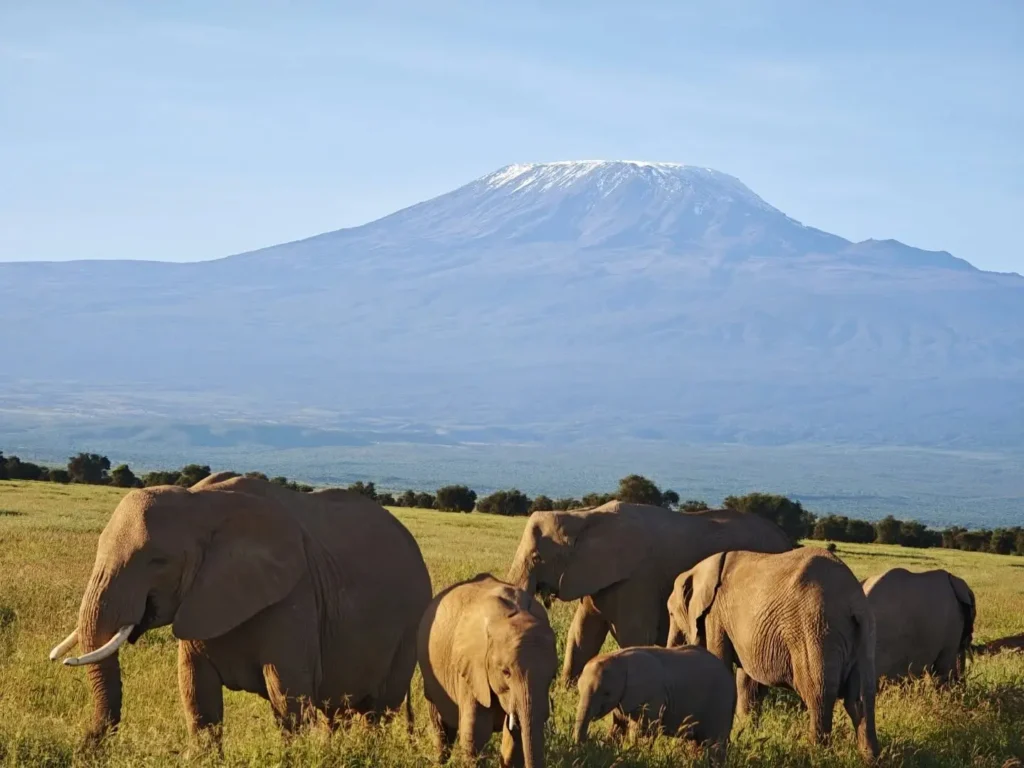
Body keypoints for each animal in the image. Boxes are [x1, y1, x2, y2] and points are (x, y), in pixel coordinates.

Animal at [48, 474, 432, 742]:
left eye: (158, 561)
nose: (86, 744)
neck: (203, 504)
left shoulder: (295, 596)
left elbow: (288, 700)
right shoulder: (200, 601)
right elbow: (198, 697)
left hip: (410, 627)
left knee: (377, 712)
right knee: (337, 712)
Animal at [417, 573, 557, 768]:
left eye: (552, 677)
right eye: (506, 672)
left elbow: (514, 742)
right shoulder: (472, 670)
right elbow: (475, 736)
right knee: (441, 726)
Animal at [505, 501, 793, 684]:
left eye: (536, 557)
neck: (583, 516)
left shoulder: (638, 579)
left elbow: (633, 636)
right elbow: (582, 634)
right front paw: (569, 689)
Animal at [573, 645, 735, 765]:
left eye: (607, 693)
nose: (587, 744)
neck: (619, 659)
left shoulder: (650, 697)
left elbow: (643, 732)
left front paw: (636, 754)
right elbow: (618, 727)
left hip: (721, 704)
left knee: (714, 744)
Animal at [666, 547, 879, 761]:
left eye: (670, 614)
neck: (703, 568)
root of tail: (853, 601)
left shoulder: (716, 616)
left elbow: (721, 665)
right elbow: (748, 682)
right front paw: (749, 735)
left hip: (816, 630)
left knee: (818, 695)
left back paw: (816, 755)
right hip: (863, 635)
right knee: (862, 697)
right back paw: (870, 758)